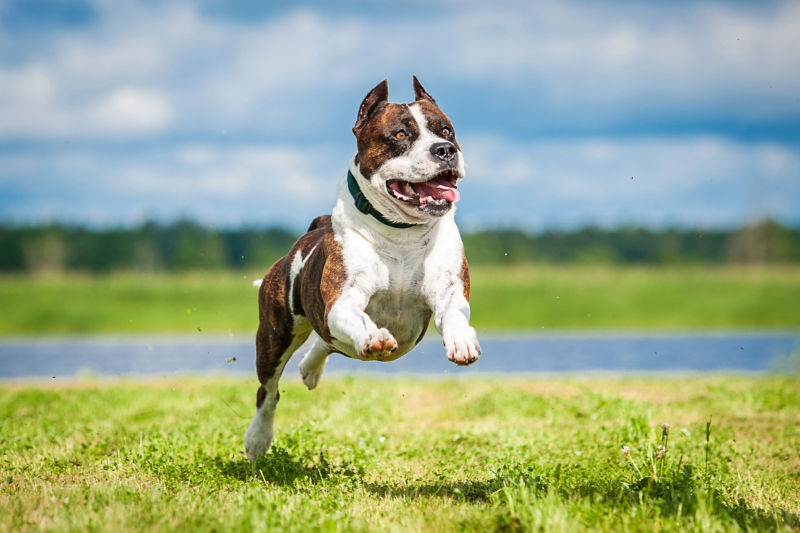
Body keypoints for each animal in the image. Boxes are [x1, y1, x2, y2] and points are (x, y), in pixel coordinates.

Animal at [244, 77, 482, 460]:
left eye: (447, 131)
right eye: (400, 134)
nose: (445, 149)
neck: (401, 231)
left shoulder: (449, 290)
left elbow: (455, 315)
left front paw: (462, 340)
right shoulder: (343, 300)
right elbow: (357, 319)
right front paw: (373, 335)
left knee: (326, 342)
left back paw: (310, 370)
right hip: (274, 335)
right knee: (268, 391)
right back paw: (257, 438)